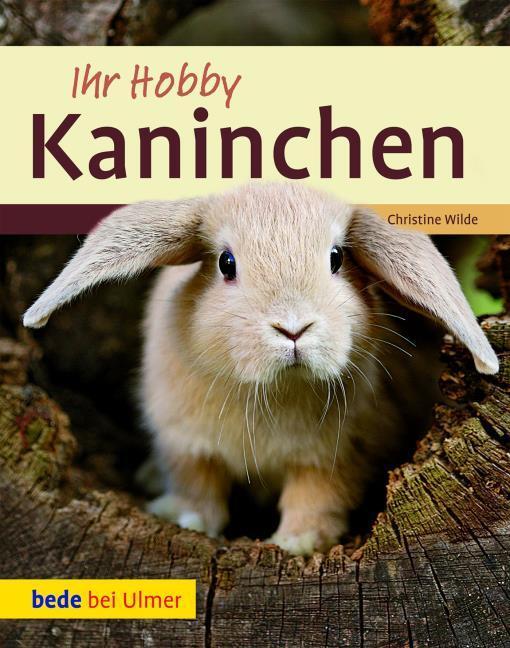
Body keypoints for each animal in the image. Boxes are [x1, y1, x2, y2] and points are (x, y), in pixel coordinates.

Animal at [23, 183, 499, 556]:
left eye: (337, 258)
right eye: (226, 263)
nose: (293, 328)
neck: (272, 391)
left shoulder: (336, 457)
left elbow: (316, 498)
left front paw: (295, 543)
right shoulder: (186, 444)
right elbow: (198, 487)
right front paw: (188, 522)